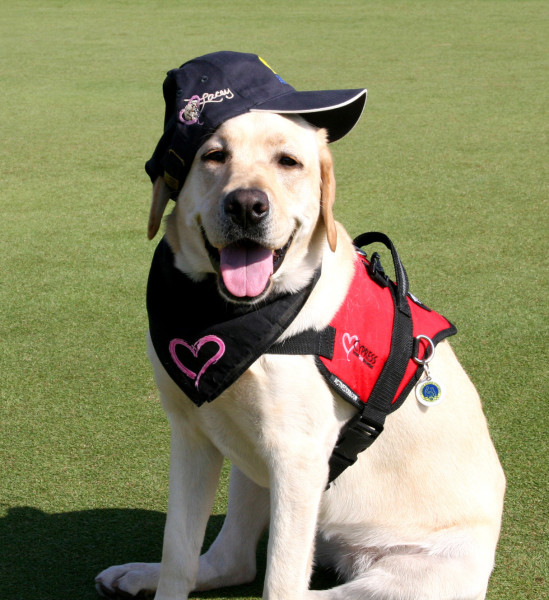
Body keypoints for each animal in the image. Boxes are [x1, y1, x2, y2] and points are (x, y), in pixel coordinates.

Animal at [96, 52, 505, 600]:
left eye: (288, 162)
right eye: (213, 156)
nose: (247, 205)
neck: (233, 315)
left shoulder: (298, 458)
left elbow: (280, 580)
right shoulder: (192, 436)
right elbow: (179, 554)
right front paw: (161, 578)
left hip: (405, 579)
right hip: (250, 465)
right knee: (231, 560)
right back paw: (139, 574)